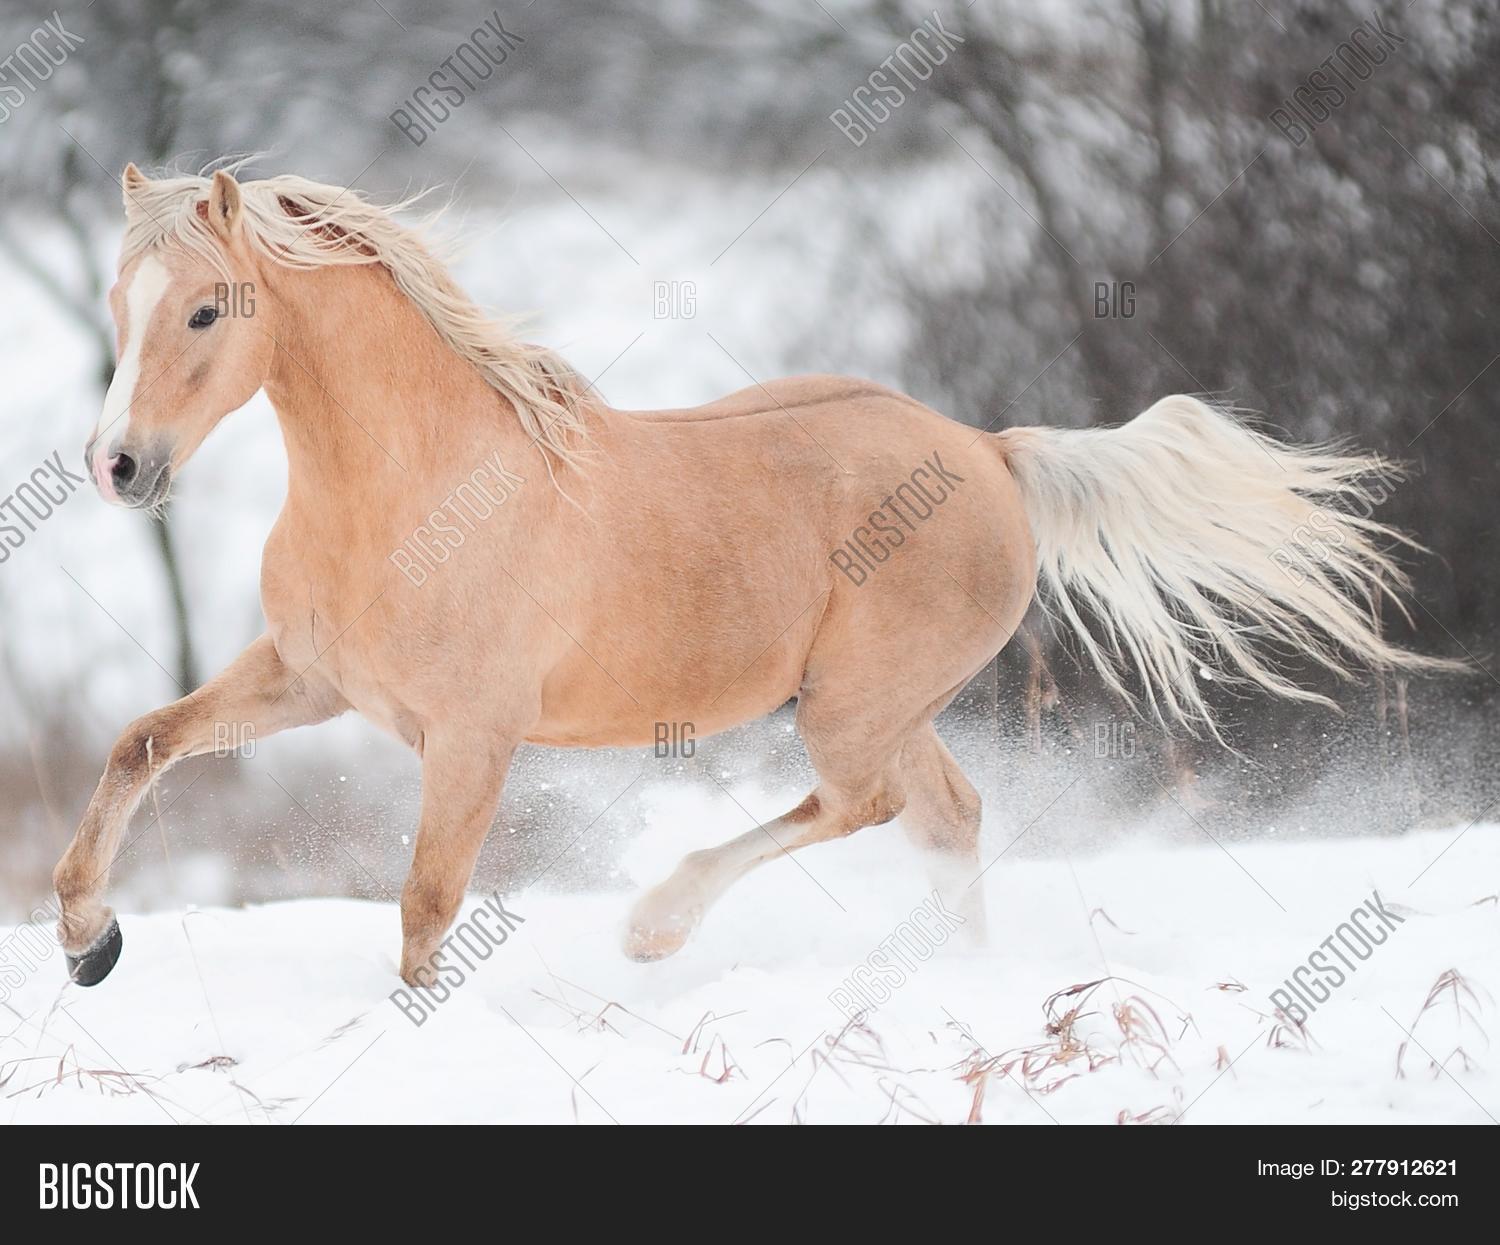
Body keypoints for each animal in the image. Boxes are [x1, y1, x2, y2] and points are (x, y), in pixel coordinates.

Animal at [53, 164, 1453, 988]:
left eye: (205, 311)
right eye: (120, 303)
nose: (116, 466)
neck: (426, 494)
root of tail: (990, 452)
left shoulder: (473, 736)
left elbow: (425, 906)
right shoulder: (306, 682)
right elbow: (139, 744)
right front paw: (84, 939)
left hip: (849, 706)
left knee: (866, 808)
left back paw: (659, 925)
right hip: (889, 707)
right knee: (945, 817)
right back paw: (956, 986)